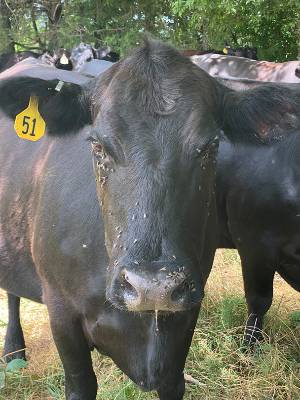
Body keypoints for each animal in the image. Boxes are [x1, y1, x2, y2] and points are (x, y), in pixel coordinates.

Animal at [0, 39, 296, 396]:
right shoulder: (61, 314)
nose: (153, 286)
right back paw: (13, 350)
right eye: (97, 145)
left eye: (211, 145)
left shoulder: (184, 317)